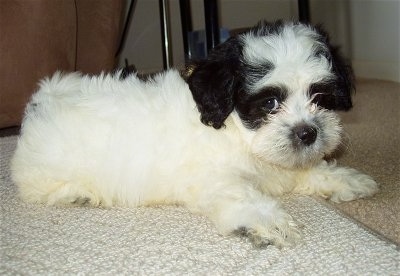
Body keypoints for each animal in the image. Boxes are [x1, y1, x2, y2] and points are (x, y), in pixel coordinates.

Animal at [10, 20, 376, 247]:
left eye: (320, 97)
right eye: (270, 102)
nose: (307, 132)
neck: (234, 131)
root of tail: (43, 99)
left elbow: (307, 170)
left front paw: (347, 180)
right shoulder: (213, 177)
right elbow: (240, 195)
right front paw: (267, 220)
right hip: (46, 169)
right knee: (33, 188)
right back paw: (77, 194)